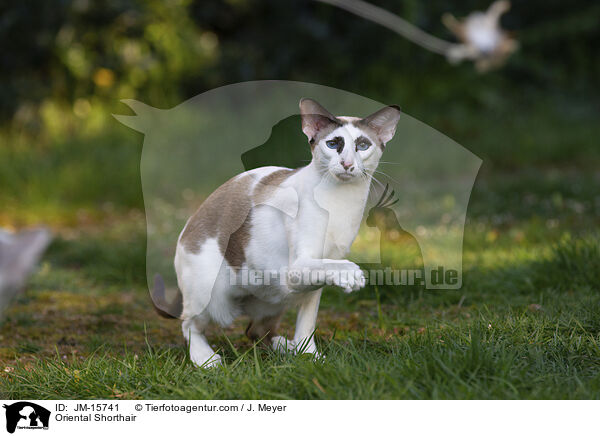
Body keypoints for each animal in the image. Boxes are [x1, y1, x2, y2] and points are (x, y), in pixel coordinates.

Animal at [152, 97, 400, 366]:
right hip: (213, 297)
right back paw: (206, 360)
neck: (342, 202)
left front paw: (311, 357)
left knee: (256, 331)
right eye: (333, 144)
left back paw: (290, 348)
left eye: (362, 145)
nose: (347, 164)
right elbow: (340, 267)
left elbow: (307, 324)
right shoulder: (299, 267)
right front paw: (353, 277)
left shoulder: (316, 279)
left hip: (275, 297)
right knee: (190, 325)